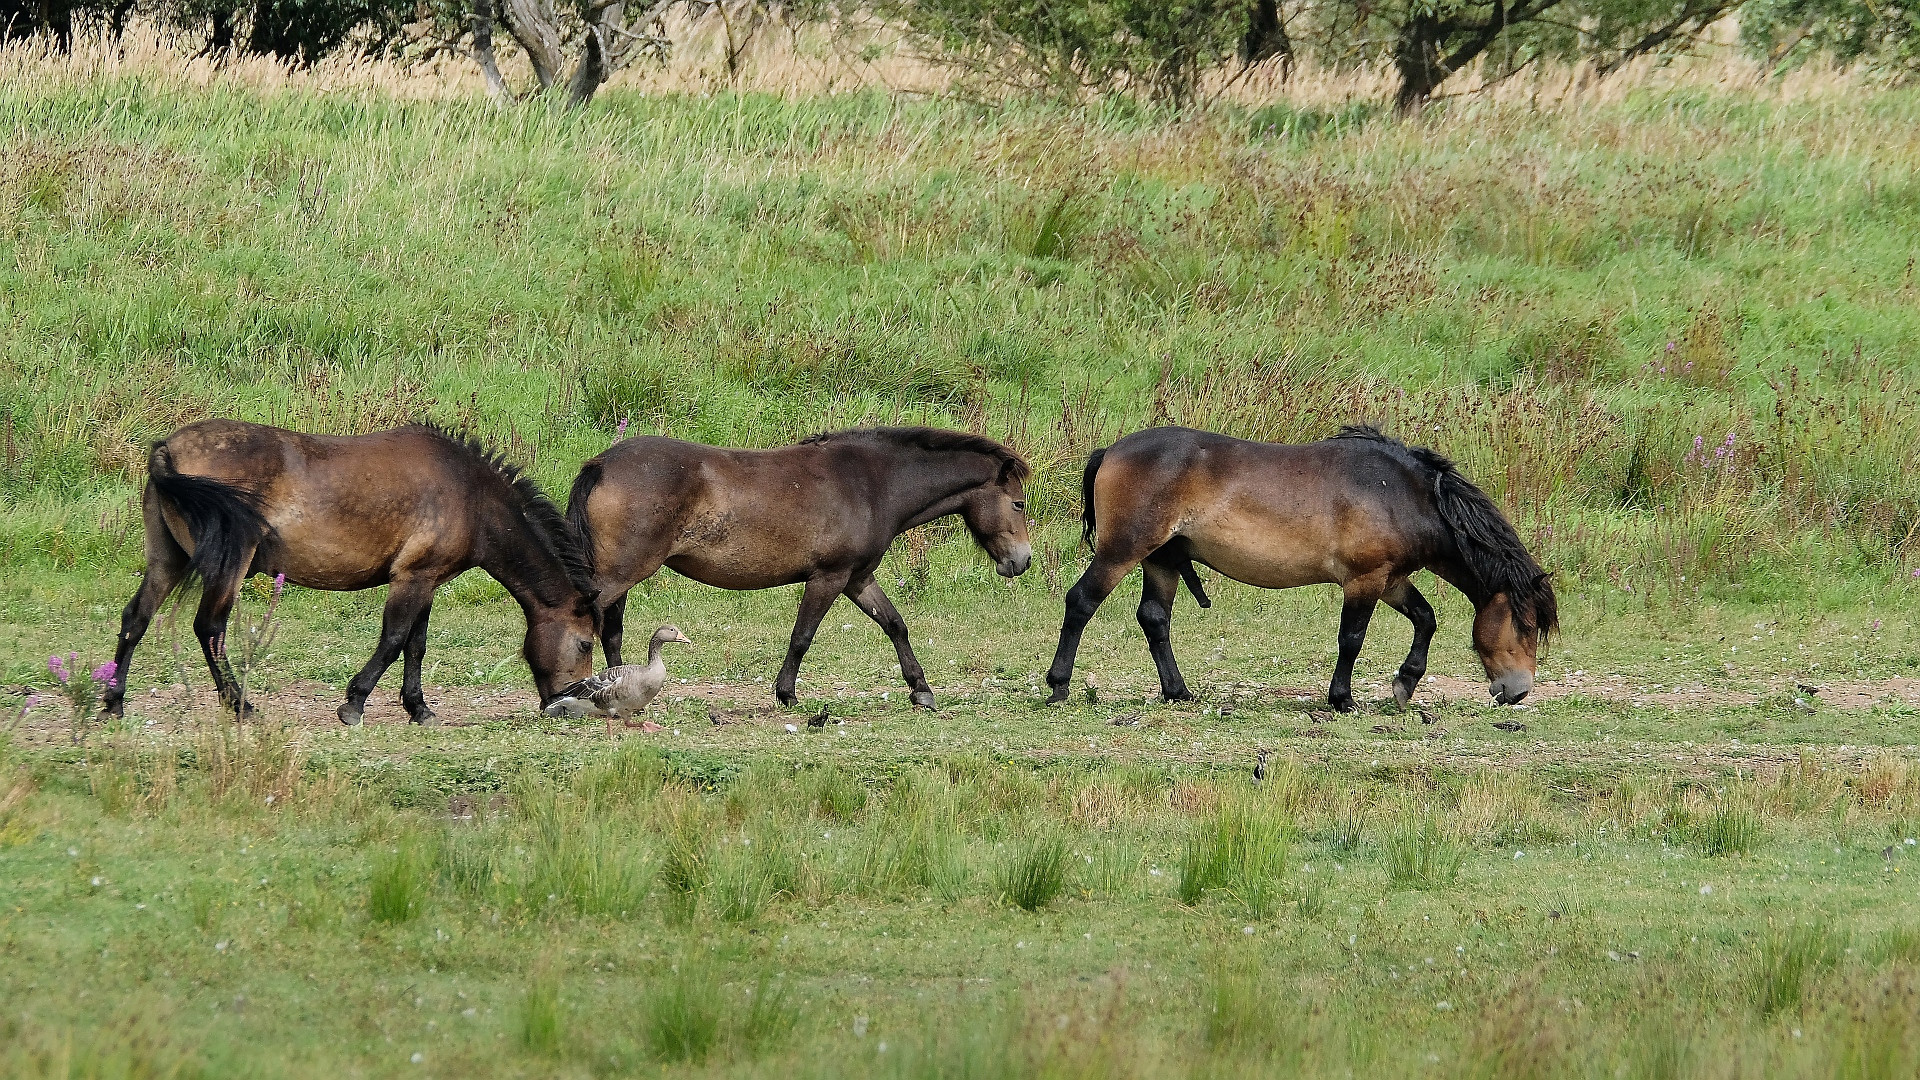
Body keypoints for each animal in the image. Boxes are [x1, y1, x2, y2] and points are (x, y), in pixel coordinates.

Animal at [105, 420, 599, 722]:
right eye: (585, 643)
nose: (564, 703)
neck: (472, 495)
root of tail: (167, 450)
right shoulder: (412, 578)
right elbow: (394, 640)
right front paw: (354, 704)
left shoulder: (426, 580)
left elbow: (416, 645)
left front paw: (418, 709)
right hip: (228, 566)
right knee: (209, 627)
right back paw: (241, 705)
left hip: (167, 559)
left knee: (136, 618)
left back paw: (113, 702)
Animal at [560, 424, 1029, 711]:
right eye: (1019, 504)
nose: (1022, 561)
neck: (873, 483)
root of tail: (602, 463)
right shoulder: (829, 577)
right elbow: (802, 636)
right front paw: (786, 694)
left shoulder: (858, 578)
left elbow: (896, 625)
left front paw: (922, 691)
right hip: (620, 573)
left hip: (625, 573)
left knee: (611, 630)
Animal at [1052, 424, 1559, 711]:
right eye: (1525, 624)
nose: (1519, 691)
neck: (1402, 494)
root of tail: (1111, 451)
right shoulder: (1364, 580)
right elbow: (1351, 640)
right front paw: (1342, 700)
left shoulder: (1390, 578)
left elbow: (1426, 619)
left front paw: (1405, 684)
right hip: (1122, 552)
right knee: (1080, 603)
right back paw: (1058, 686)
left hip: (1160, 560)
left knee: (1155, 619)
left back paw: (1178, 692)